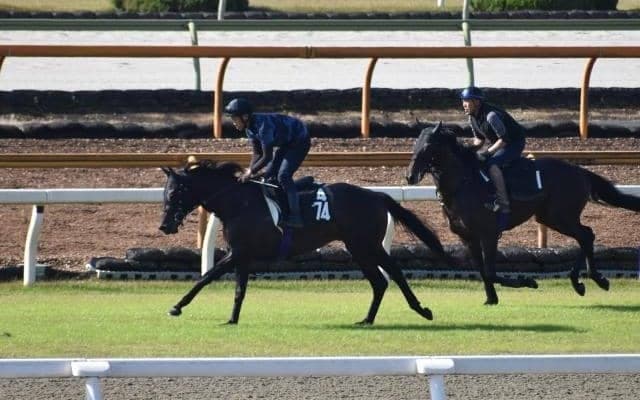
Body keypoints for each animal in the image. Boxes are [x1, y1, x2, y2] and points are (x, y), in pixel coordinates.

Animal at [159, 160, 452, 325]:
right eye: (164, 193)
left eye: (174, 193)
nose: (164, 225)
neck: (237, 202)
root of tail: (377, 196)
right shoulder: (243, 255)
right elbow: (239, 290)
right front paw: (232, 319)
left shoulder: (238, 253)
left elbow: (205, 278)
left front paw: (176, 307)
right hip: (358, 247)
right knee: (379, 281)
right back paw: (367, 319)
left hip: (367, 244)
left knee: (394, 272)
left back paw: (421, 310)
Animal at [405, 122, 640, 305]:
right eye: (414, 145)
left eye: (428, 146)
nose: (410, 176)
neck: (462, 185)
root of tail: (580, 171)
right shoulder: (467, 237)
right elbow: (481, 270)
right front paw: (491, 298)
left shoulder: (489, 234)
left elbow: (490, 271)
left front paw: (527, 281)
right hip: (549, 217)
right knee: (585, 236)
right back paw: (582, 281)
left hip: (561, 216)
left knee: (586, 235)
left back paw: (593, 279)